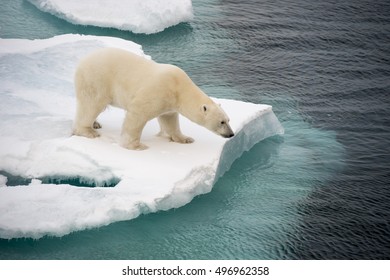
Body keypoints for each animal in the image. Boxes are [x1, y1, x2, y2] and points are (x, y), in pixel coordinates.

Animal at [72, 48, 233, 150]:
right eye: (222, 122)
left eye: (228, 120)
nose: (231, 134)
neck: (179, 86)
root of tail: (82, 60)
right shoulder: (158, 90)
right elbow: (137, 114)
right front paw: (136, 146)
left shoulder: (170, 102)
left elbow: (170, 120)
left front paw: (185, 139)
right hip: (97, 79)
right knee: (91, 103)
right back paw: (88, 131)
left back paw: (96, 124)